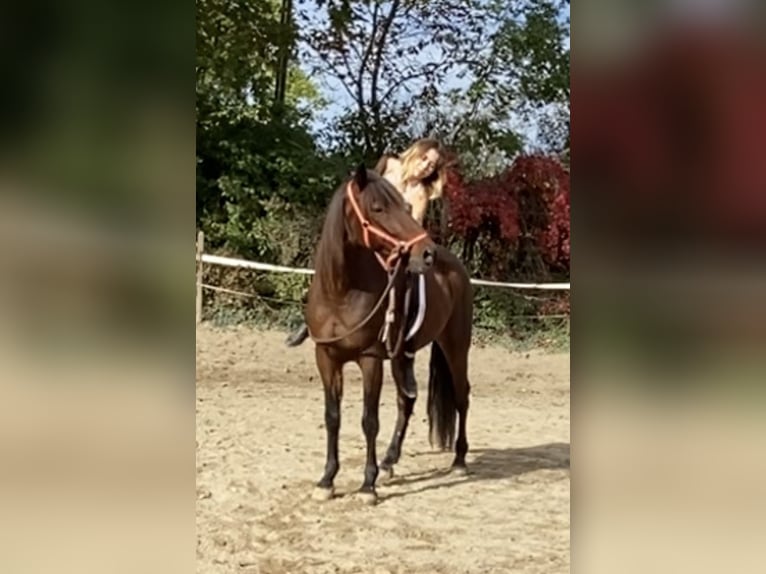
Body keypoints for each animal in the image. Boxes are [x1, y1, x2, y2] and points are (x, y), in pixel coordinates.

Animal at [302, 163, 472, 504]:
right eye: (378, 208)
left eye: (406, 207)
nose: (426, 253)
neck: (341, 293)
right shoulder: (326, 358)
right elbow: (332, 417)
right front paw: (327, 480)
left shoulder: (370, 360)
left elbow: (369, 421)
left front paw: (368, 485)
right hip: (401, 355)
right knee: (406, 402)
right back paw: (390, 460)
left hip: (456, 347)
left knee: (462, 396)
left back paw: (460, 460)